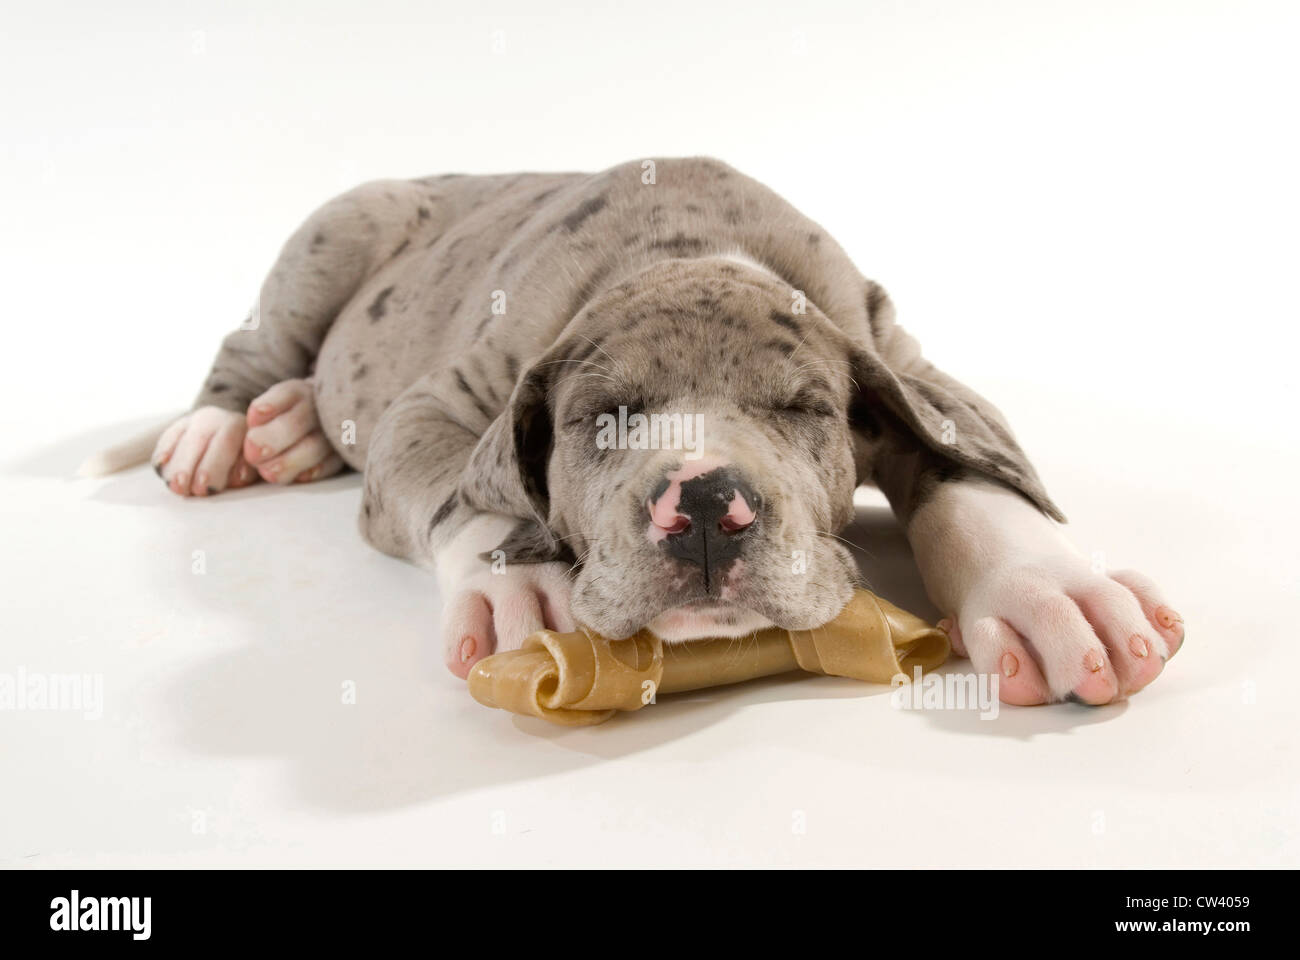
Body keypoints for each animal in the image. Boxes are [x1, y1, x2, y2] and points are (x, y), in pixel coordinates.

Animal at [137, 158, 1185, 702]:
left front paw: (1050, 589)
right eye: (602, 417)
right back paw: (223, 429)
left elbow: (970, 465)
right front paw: (519, 591)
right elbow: (462, 490)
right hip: (339, 233)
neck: (684, 249)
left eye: (804, 410)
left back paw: (291, 429)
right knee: (253, 341)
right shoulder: (437, 402)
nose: (709, 505)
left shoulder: (903, 359)